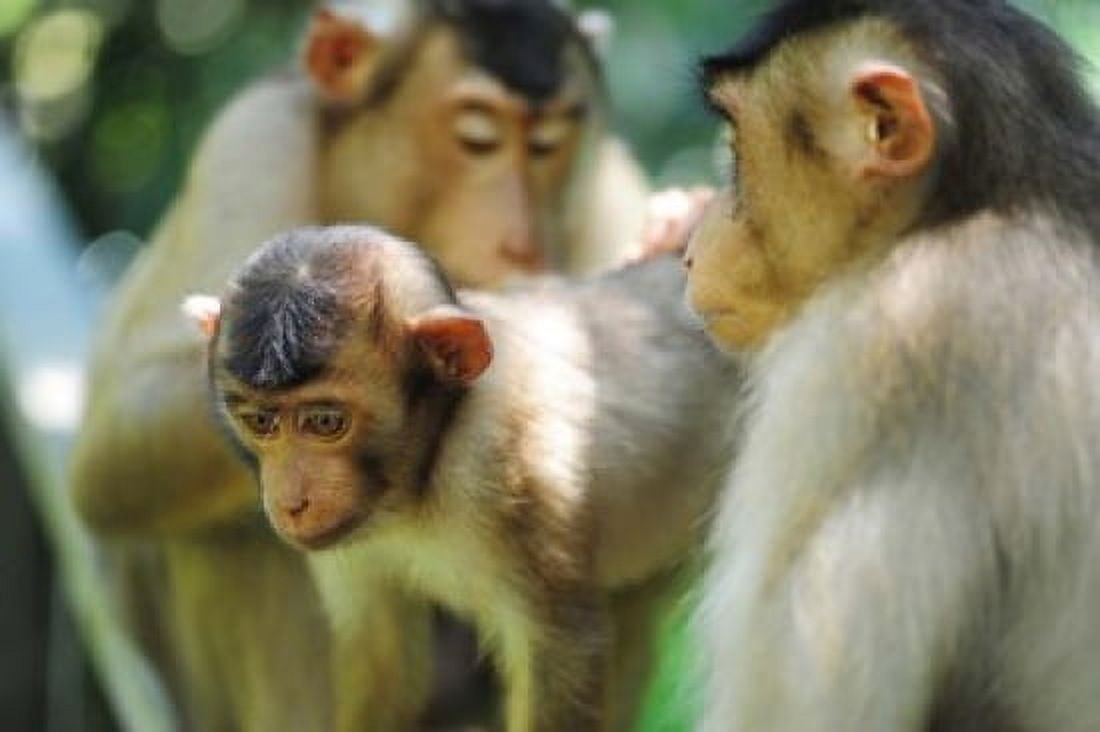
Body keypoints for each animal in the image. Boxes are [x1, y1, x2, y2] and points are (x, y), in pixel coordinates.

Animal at [67, 2, 650, 729]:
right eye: (478, 138)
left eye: (547, 146)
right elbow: (112, 456)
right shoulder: (254, 137)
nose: (520, 245)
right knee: (225, 532)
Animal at [188, 224, 739, 732]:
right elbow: (383, 657)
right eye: (260, 422)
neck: (419, 473)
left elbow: (560, 649)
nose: (290, 501)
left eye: (325, 423)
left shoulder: (510, 467)